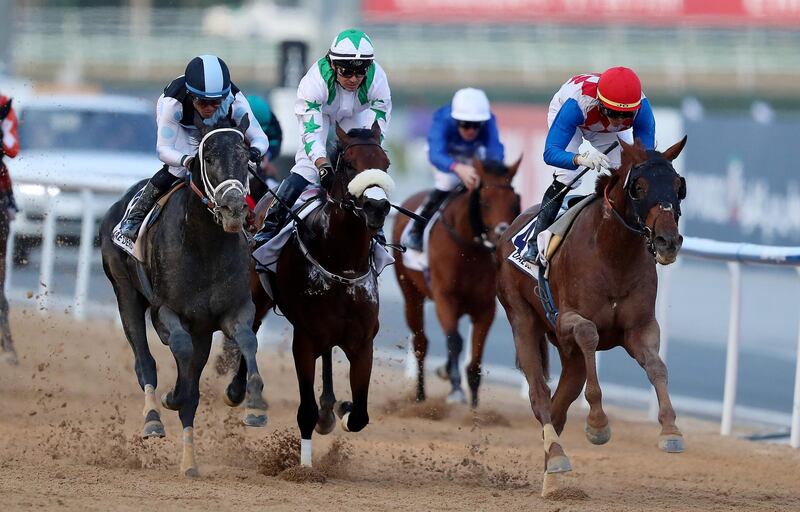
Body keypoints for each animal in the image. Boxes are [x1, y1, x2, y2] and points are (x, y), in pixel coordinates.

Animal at [99, 115, 268, 476]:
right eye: (209, 158)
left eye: (245, 155)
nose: (234, 208)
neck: (204, 244)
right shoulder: (165, 312)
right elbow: (178, 348)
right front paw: (171, 397)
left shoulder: (235, 310)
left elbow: (248, 340)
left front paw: (255, 405)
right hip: (124, 292)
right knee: (144, 361)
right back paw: (153, 418)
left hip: (202, 329)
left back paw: (189, 462)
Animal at [244, 124, 394, 468]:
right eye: (349, 164)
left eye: (386, 164)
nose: (377, 207)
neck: (342, 263)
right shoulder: (305, 339)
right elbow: (306, 411)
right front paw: (304, 467)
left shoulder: (362, 342)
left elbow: (361, 415)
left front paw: (342, 410)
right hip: (257, 298)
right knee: (247, 330)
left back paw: (329, 406)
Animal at [392, 158, 520, 406]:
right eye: (485, 202)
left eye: (514, 202)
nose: (502, 235)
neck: (469, 250)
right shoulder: (445, 298)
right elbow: (455, 341)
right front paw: (456, 391)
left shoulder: (485, 306)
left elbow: (475, 360)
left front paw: (474, 406)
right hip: (411, 294)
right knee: (421, 343)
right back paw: (420, 395)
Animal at [494, 137, 688, 496]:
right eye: (639, 187)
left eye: (677, 186)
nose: (667, 241)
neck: (613, 254)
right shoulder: (565, 320)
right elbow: (588, 333)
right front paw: (598, 424)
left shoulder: (639, 328)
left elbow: (657, 367)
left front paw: (670, 430)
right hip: (522, 318)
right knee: (540, 396)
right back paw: (557, 458)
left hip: (568, 356)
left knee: (559, 405)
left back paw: (553, 473)